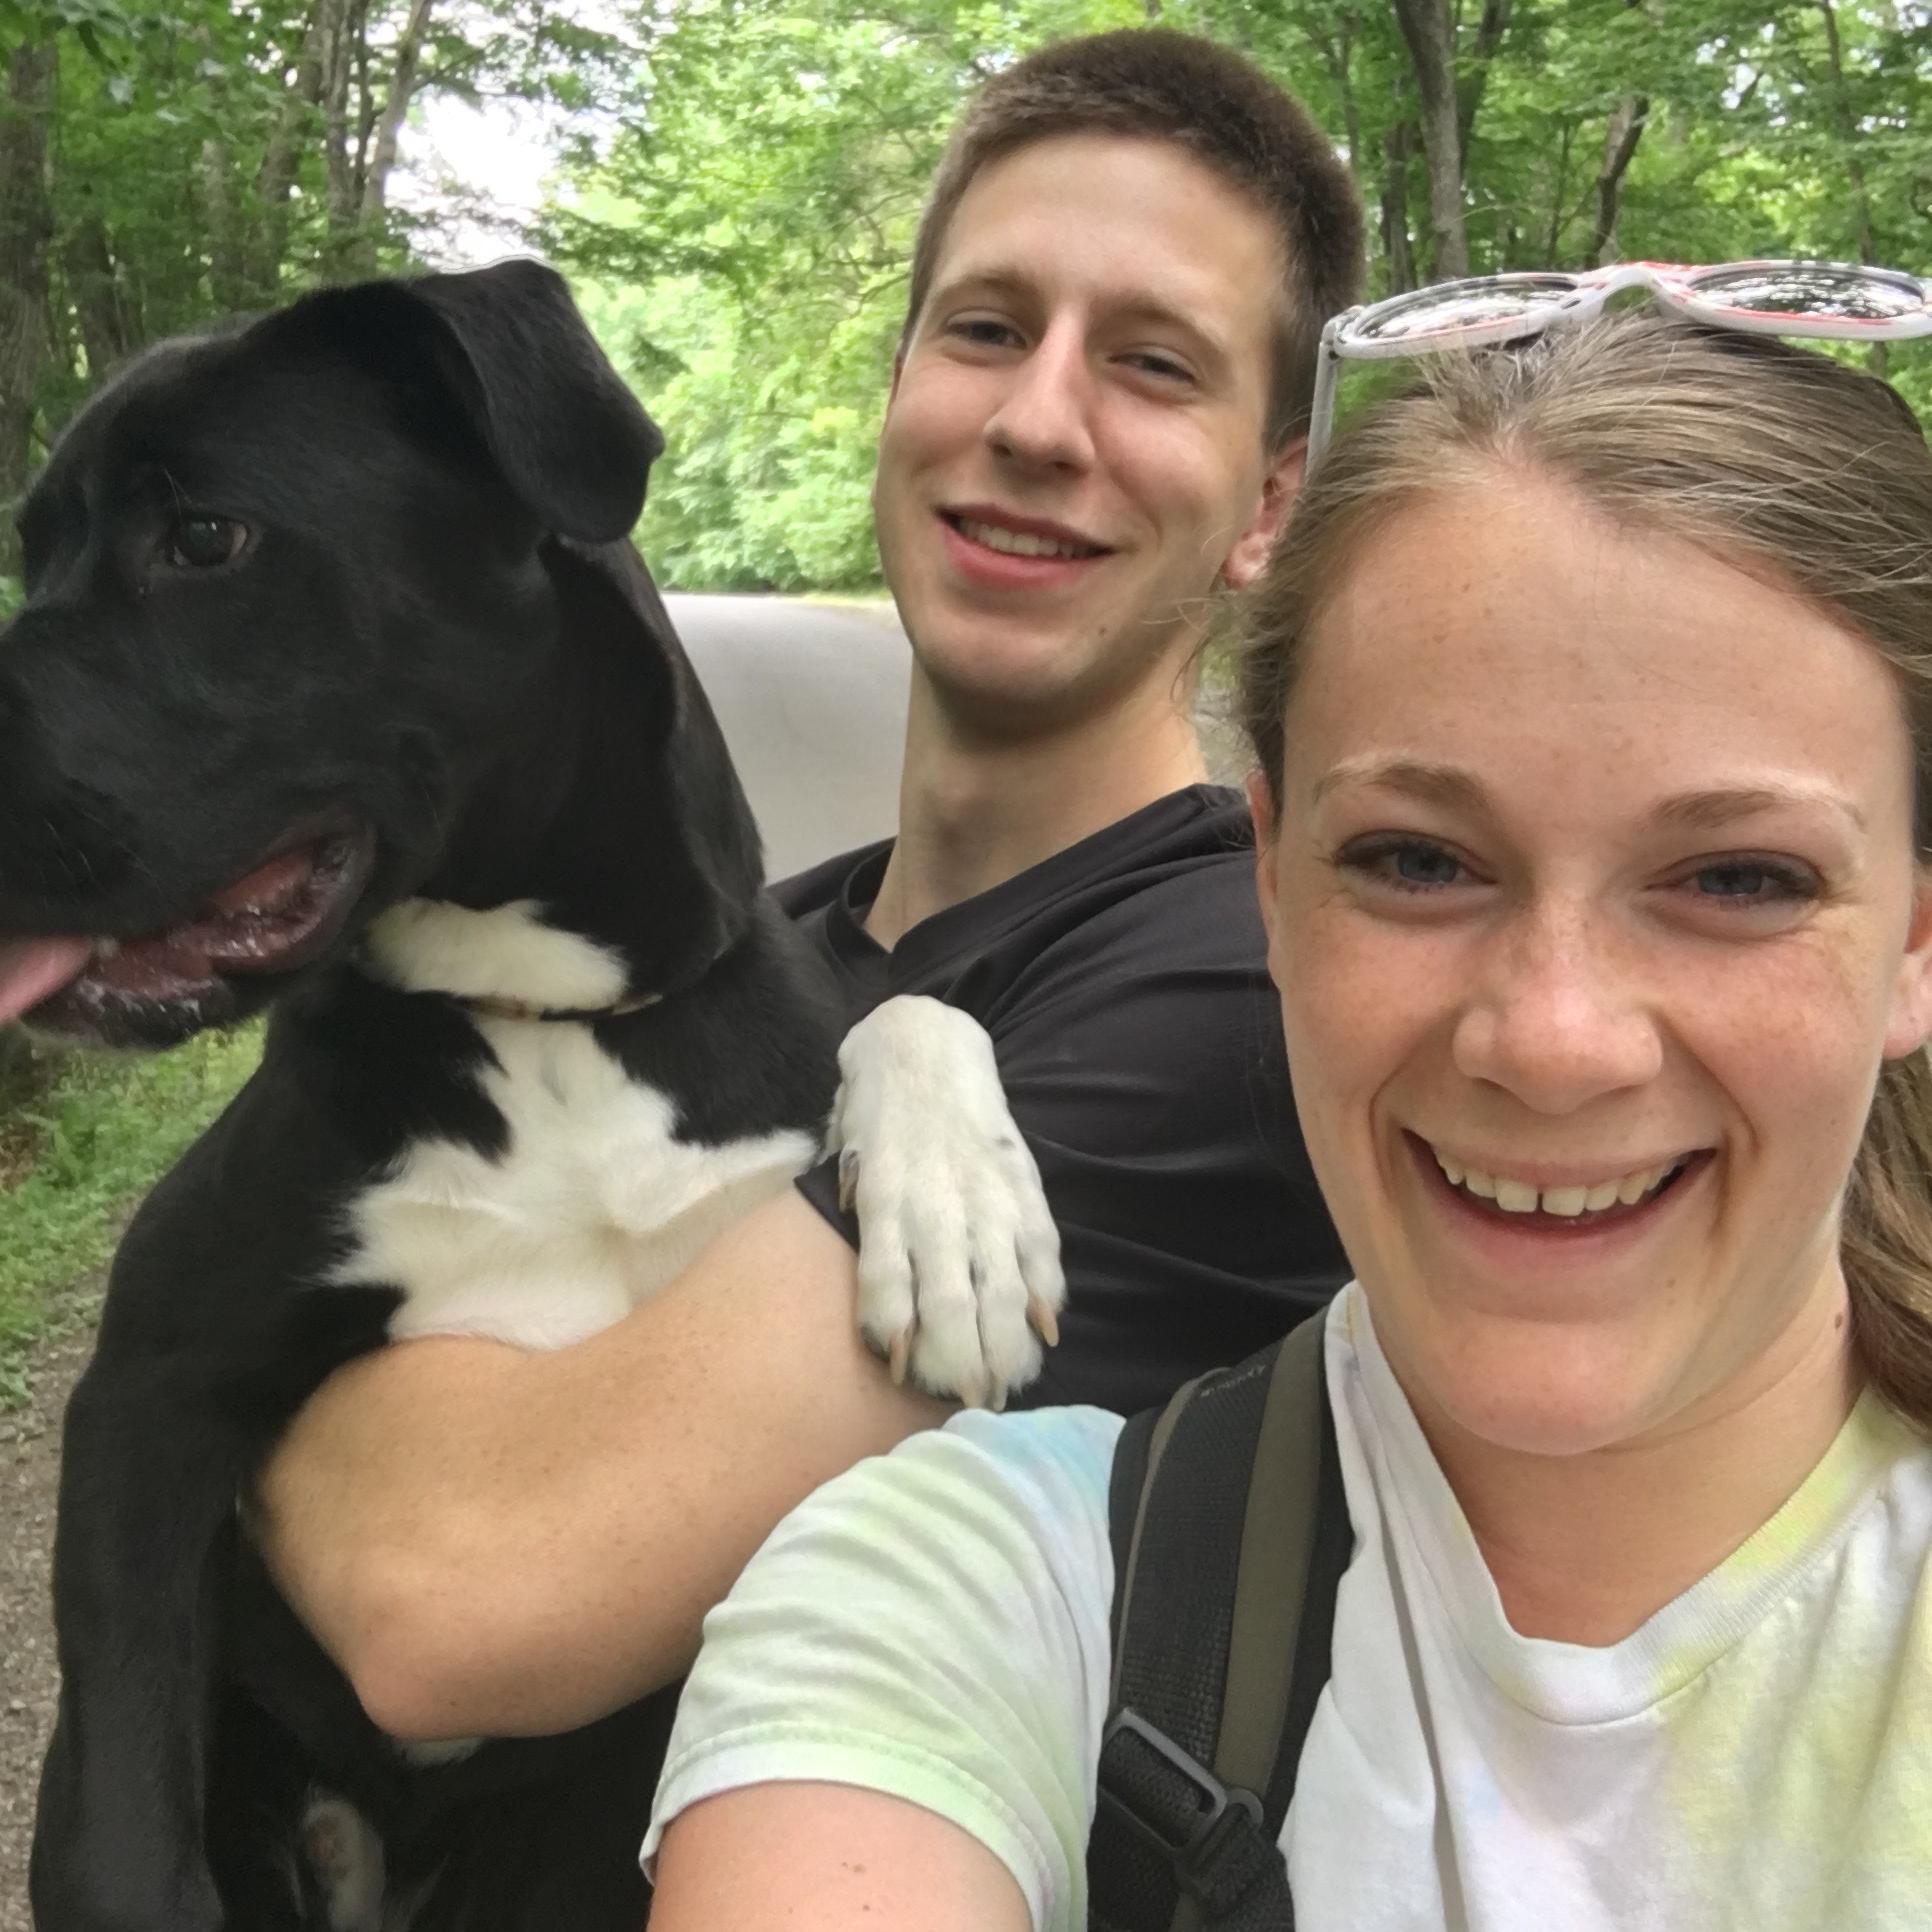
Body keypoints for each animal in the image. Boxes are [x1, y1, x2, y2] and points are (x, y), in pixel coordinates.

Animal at [2, 259, 1063, 1931]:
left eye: (206, 537)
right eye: (34, 549)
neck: (542, 1016)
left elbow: (911, 1002)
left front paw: (959, 1229)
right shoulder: (151, 1386)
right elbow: (121, 1826)